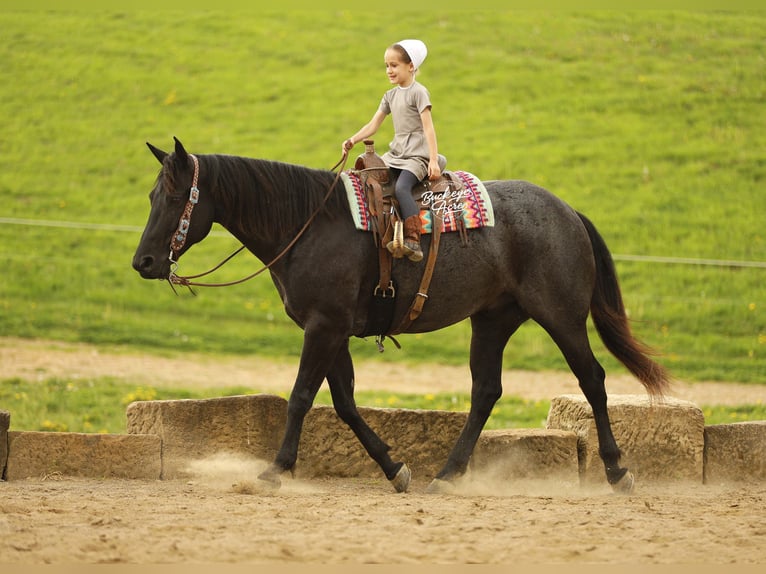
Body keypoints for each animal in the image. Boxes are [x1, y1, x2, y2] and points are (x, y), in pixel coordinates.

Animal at [132, 137, 670, 494]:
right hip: (492, 320)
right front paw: (395, 469)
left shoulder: (324, 327)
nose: (144, 262)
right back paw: (447, 474)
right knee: (486, 391)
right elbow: (345, 404)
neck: (308, 224)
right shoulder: (332, 331)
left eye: (176, 197)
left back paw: (617, 471)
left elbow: (302, 397)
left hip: (561, 317)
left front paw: (276, 469)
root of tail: (568, 211)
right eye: (152, 197)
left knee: (593, 380)